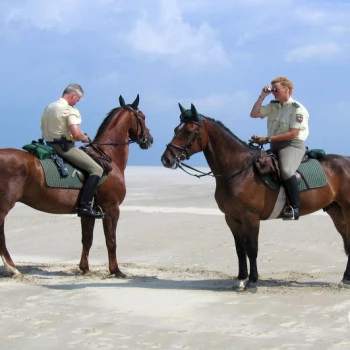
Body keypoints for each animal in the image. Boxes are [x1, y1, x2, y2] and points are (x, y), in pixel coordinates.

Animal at [0, 94, 153, 278]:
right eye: (142, 116)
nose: (149, 139)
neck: (108, 157)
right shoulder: (111, 208)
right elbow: (111, 241)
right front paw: (116, 270)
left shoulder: (88, 212)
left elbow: (87, 239)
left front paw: (85, 268)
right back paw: (12, 268)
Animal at [162, 102, 350, 292]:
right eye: (176, 129)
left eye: (188, 131)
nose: (166, 159)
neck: (240, 170)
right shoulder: (232, 218)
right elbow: (240, 249)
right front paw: (240, 279)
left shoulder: (250, 217)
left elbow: (252, 249)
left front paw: (252, 281)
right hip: (336, 212)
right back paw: (345, 279)